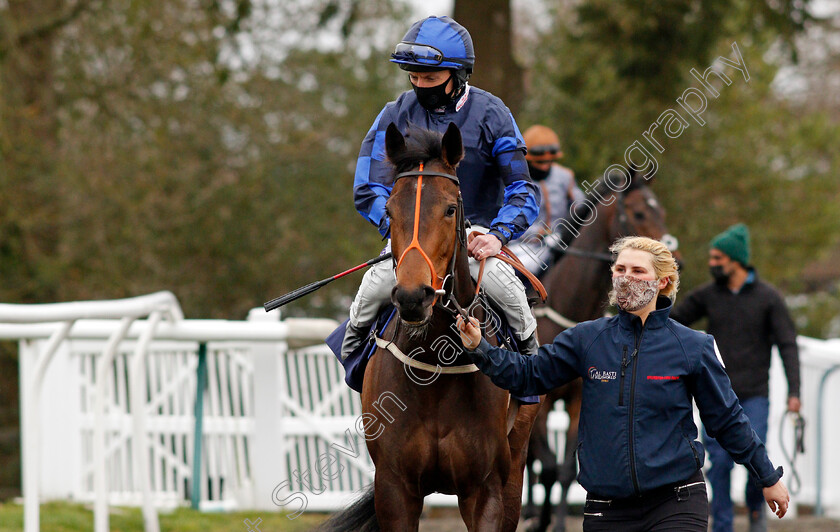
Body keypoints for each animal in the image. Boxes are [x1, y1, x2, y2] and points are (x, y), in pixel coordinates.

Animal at [318, 120, 540, 532]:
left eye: (450, 209)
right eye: (389, 211)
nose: (412, 296)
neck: (436, 366)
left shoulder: (485, 489)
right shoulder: (394, 487)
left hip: (516, 460)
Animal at [520, 175, 680, 532]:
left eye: (662, 211)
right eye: (638, 213)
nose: (672, 257)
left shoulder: (579, 399)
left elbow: (566, 471)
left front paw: (558, 523)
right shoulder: (541, 401)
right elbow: (548, 467)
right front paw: (541, 521)